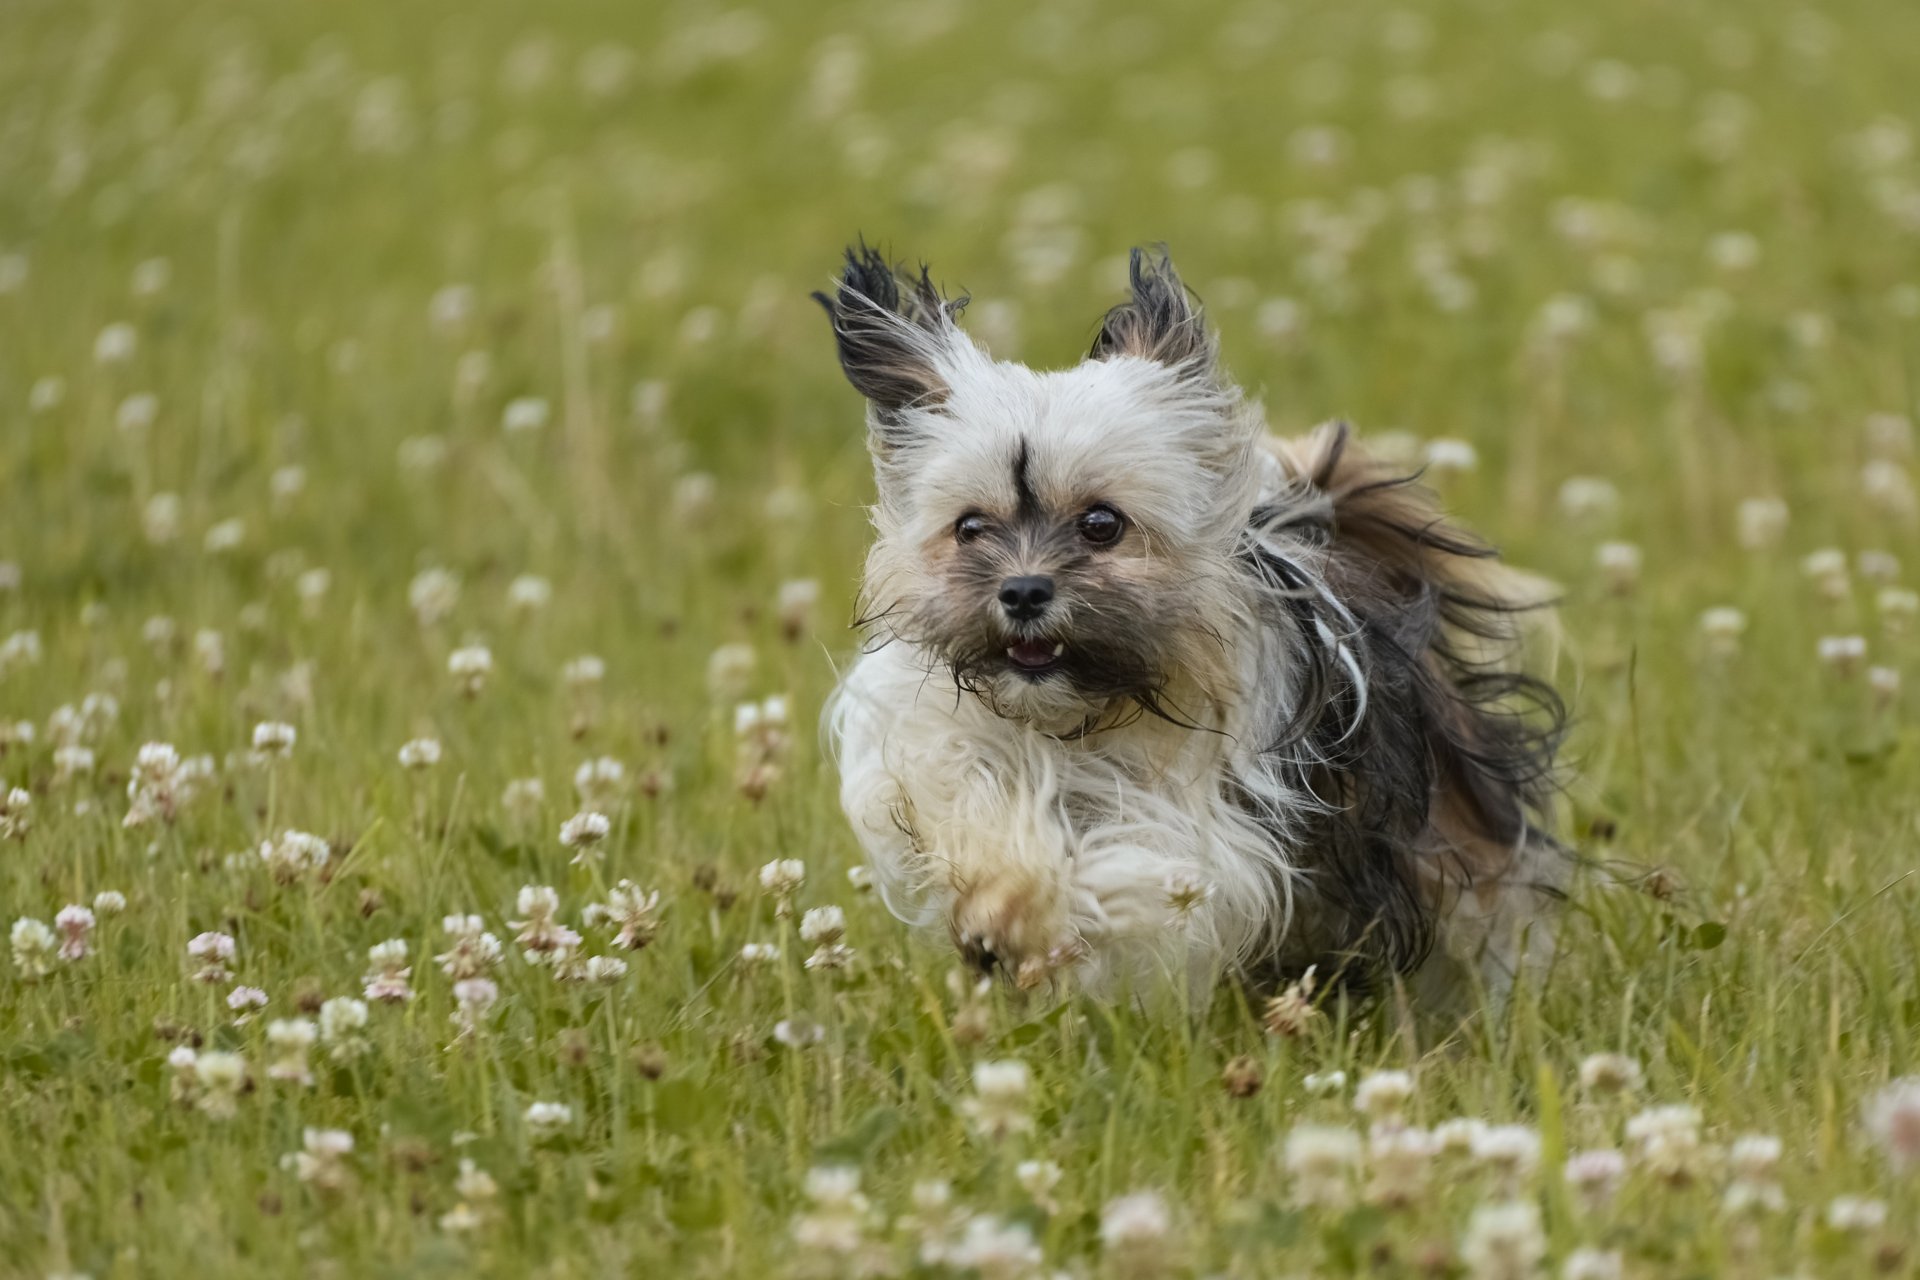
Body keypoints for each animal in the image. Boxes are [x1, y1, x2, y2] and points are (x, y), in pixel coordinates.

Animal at [817, 245, 1566, 1005]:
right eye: (969, 527)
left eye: (1101, 522)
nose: (1023, 591)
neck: (1085, 717)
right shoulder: (942, 741)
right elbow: (970, 799)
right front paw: (1004, 899)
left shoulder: (1215, 824)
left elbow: (1140, 865)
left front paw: (1031, 914)